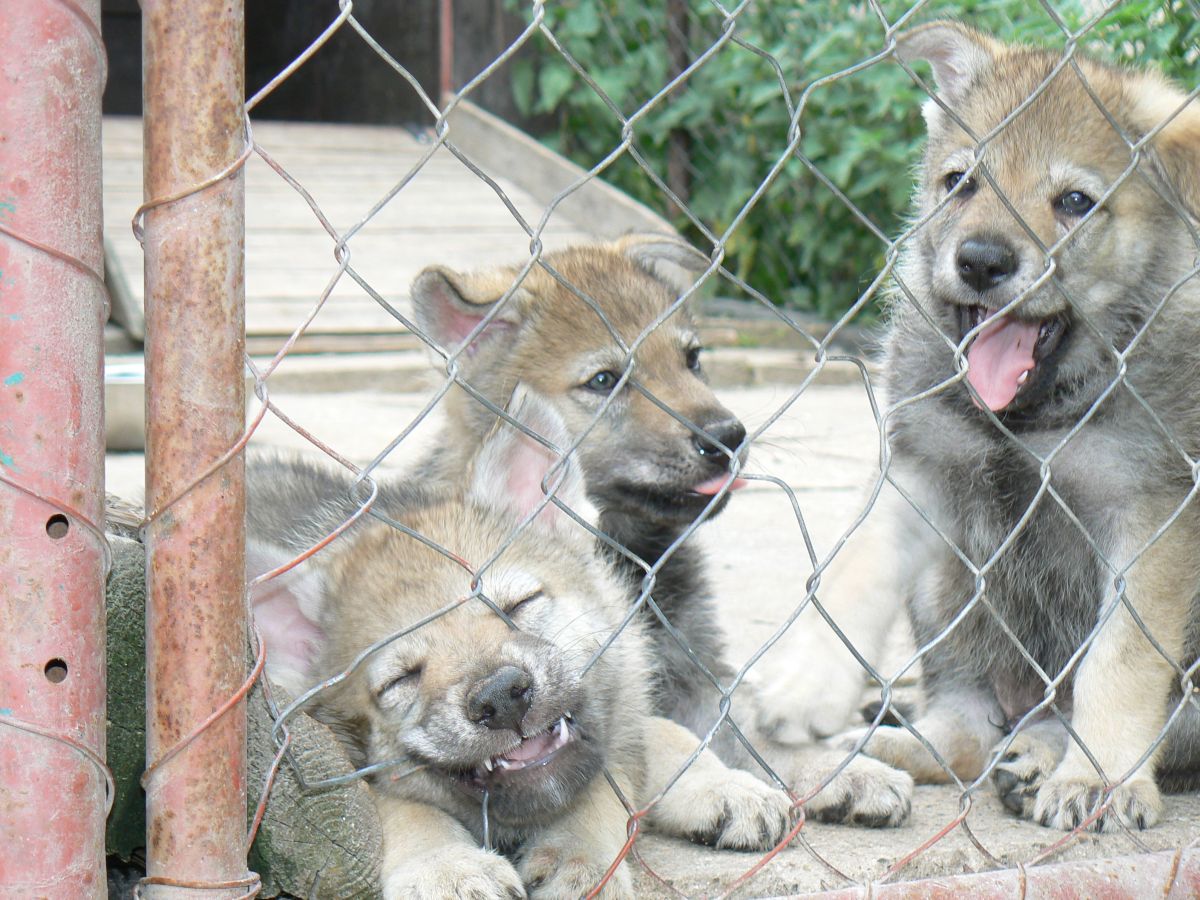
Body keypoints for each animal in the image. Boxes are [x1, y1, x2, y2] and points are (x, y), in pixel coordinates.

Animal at [806, 22, 1200, 840]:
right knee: (966, 729)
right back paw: (900, 744)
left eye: (1075, 202)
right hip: (948, 586)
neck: (1031, 420)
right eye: (961, 182)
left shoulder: (1151, 519)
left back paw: (1046, 757)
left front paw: (1100, 778)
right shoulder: (919, 464)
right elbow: (857, 564)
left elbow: (1119, 663)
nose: (982, 261)